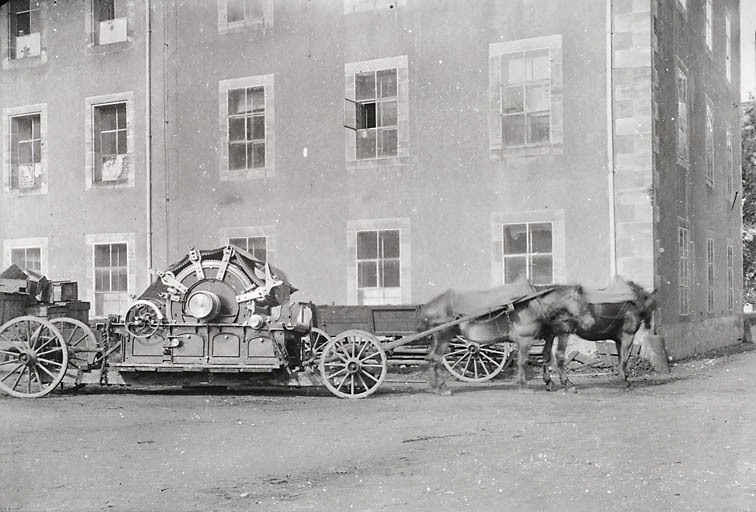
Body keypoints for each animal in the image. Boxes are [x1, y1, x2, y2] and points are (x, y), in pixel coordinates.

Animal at [416, 282, 592, 394]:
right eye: (580, 301)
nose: (589, 323)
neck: (533, 303)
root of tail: (429, 306)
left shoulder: (548, 335)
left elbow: (545, 357)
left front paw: (549, 383)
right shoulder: (526, 339)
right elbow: (524, 361)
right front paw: (524, 386)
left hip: (438, 338)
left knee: (430, 358)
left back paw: (435, 387)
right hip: (444, 336)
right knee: (436, 359)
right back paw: (443, 388)